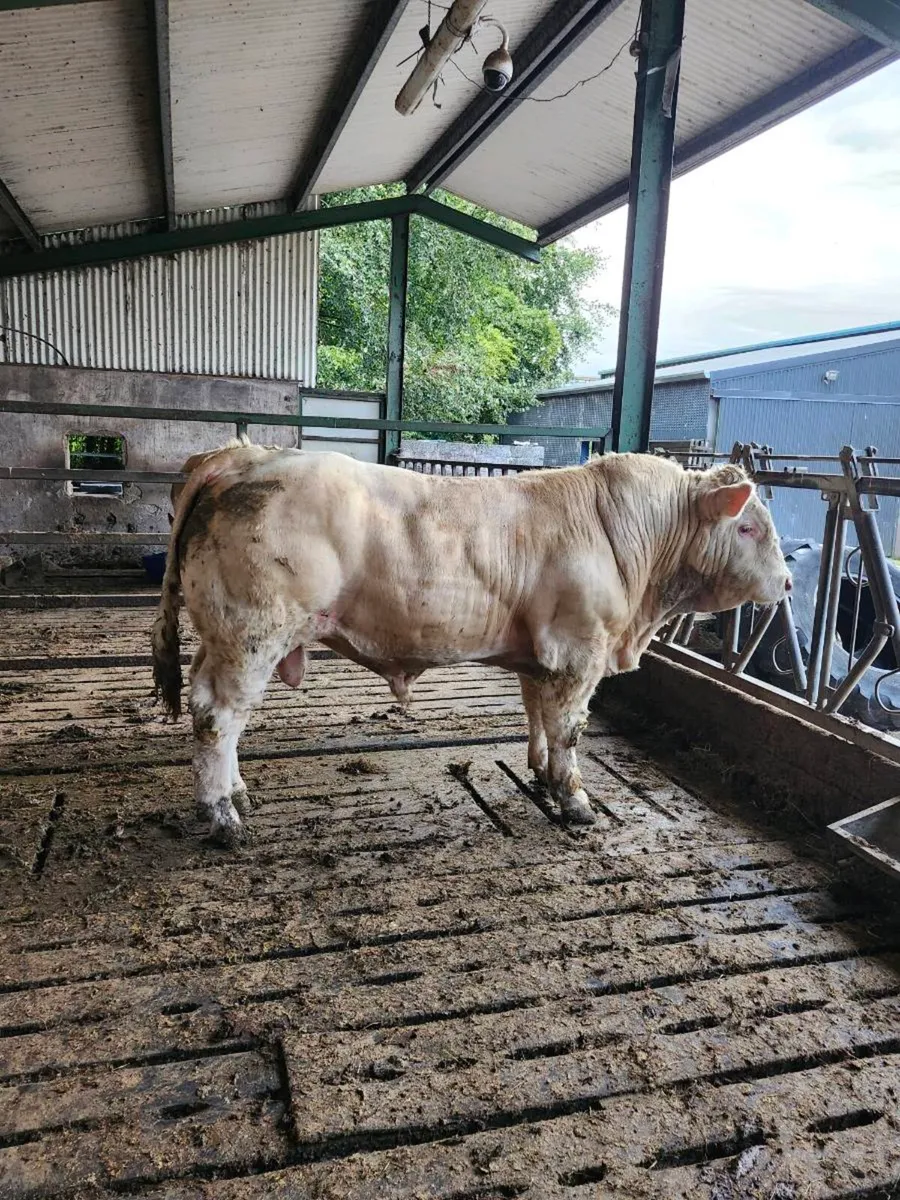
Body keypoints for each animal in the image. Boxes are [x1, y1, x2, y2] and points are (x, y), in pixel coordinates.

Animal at [151, 444, 791, 845]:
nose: (786, 583)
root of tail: (244, 455)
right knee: (217, 716)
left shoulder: (543, 656)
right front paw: (577, 802)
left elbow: (537, 716)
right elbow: (569, 730)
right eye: (747, 527)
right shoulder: (579, 650)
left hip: (222, 637)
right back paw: (223, 817)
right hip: (252, 634)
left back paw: (238, 793)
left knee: (218, 712)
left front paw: (541, 775)